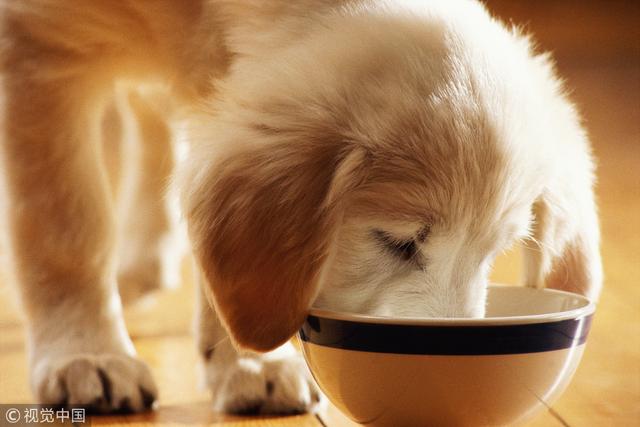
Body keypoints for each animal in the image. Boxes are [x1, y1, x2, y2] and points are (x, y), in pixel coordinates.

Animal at [0, 0, 604, 418]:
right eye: (396, 240)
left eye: (493, 254)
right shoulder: (36, 46)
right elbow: (66, 230)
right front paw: (85, 355)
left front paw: (251, 362)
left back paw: (146, 261)